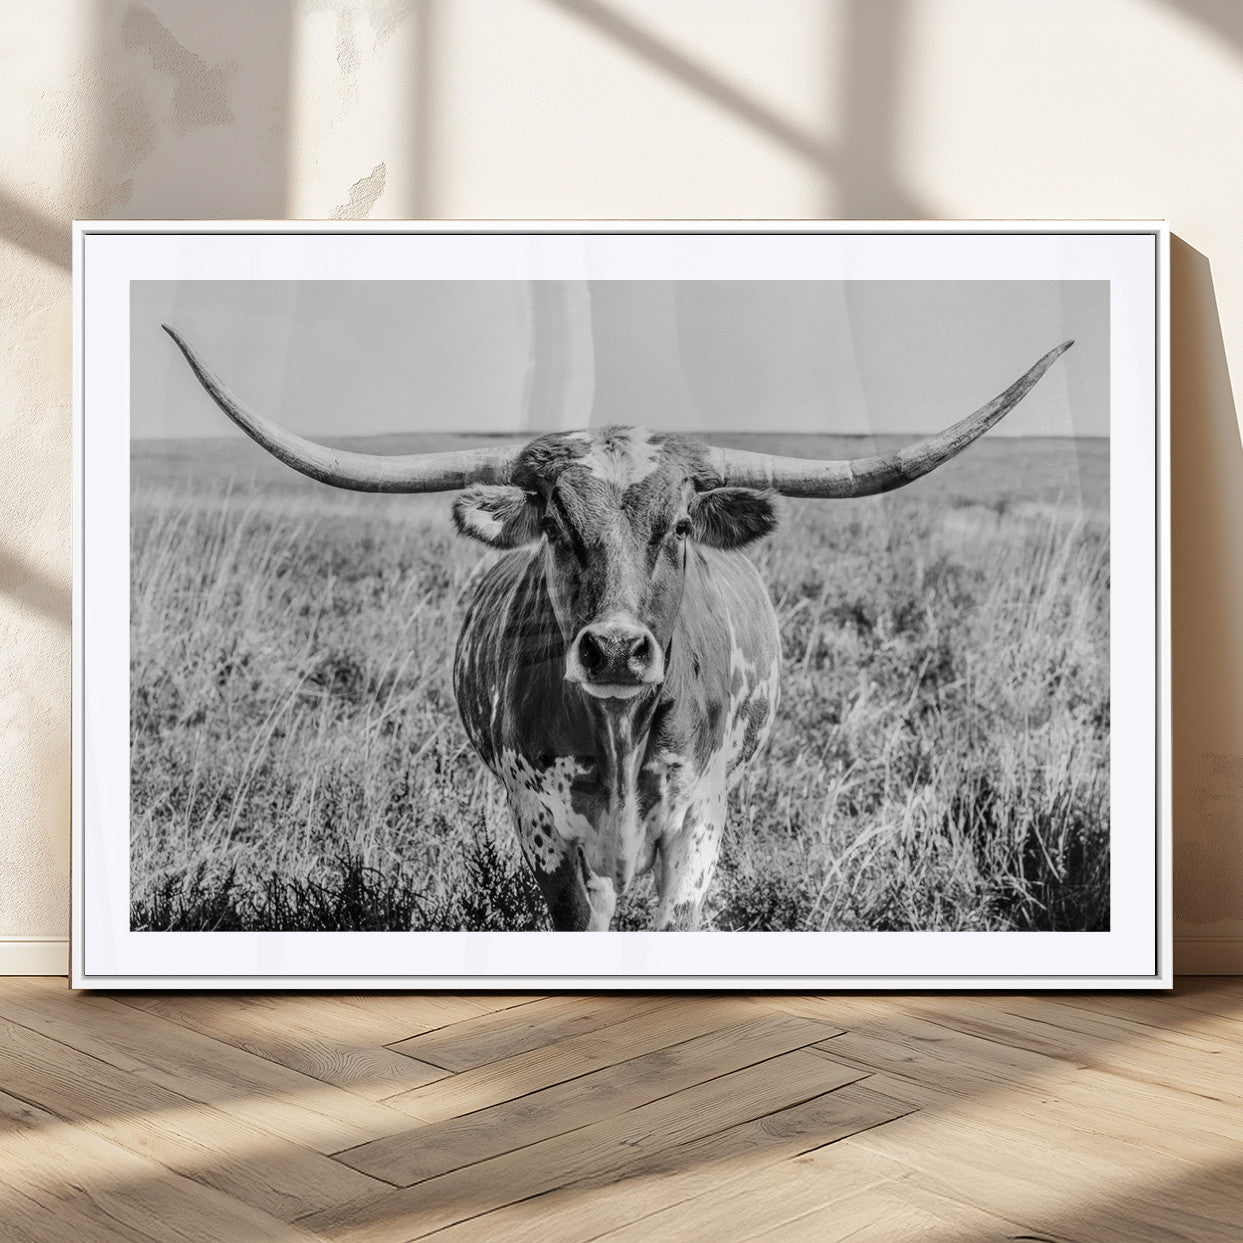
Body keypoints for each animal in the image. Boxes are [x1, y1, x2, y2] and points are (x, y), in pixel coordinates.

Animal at [164, 325, 1071, 931]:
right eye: (556, 524)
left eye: (679, 524)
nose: (615, 648)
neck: (620, 728)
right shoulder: (543, 826)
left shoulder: (699, 821)